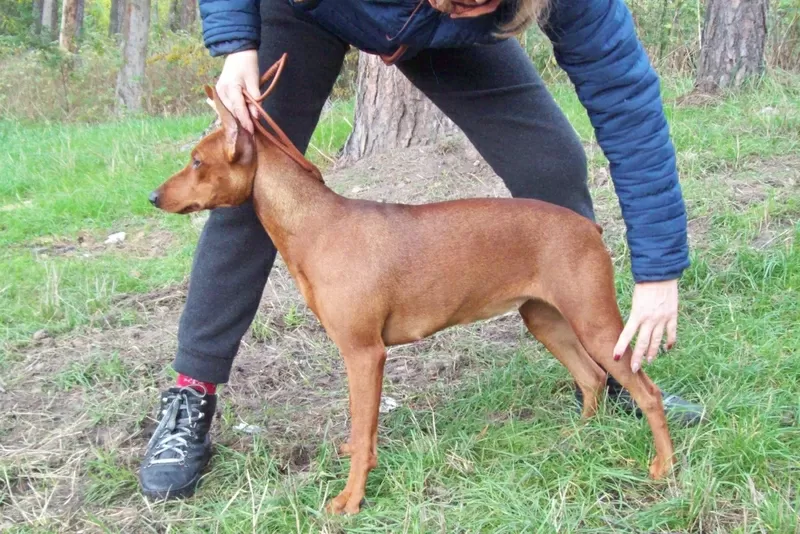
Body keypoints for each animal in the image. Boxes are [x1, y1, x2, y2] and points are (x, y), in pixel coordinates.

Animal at [152, 53, 676, 516]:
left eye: (196, 161)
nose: (153, 196)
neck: (316, 223)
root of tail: (589, 227)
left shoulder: (364, 353)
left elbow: (363, 429)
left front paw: (351, 499)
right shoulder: (360, 357)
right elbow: (363, 428)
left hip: (595, 324)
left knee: (646, 391)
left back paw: (663, 469)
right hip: (545, 319)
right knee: (591, 378)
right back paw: (579, 437)